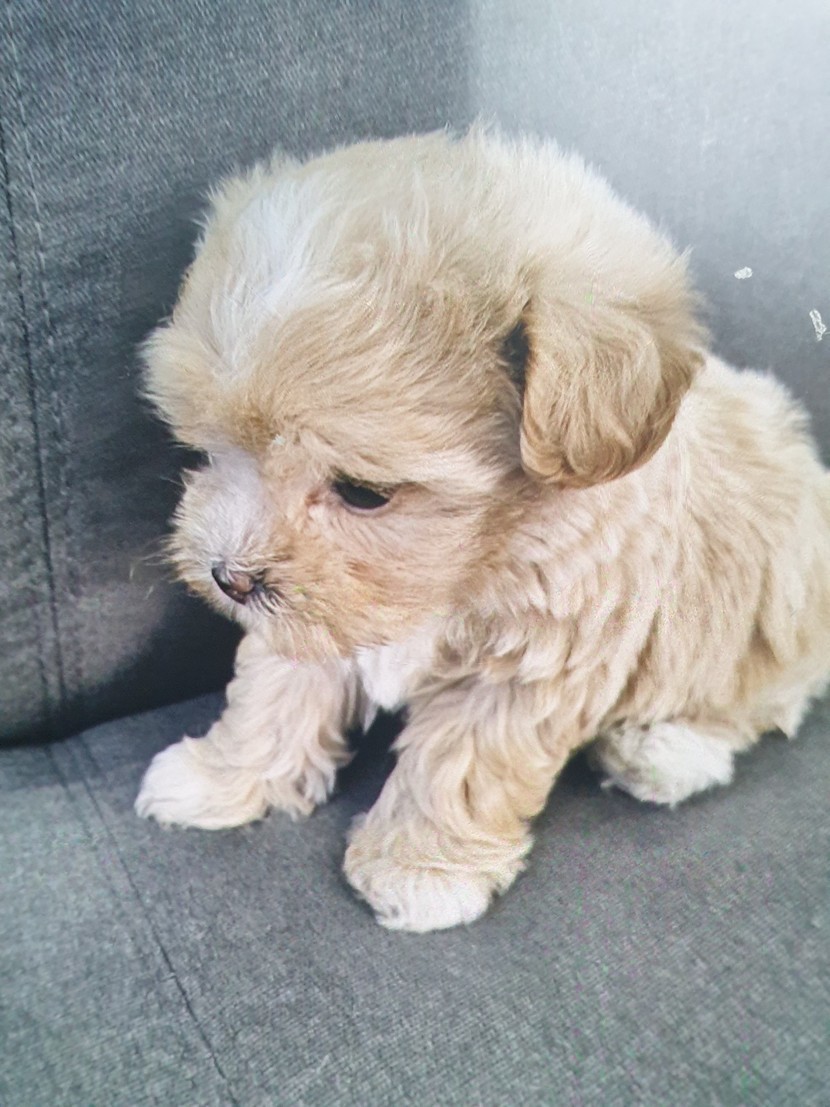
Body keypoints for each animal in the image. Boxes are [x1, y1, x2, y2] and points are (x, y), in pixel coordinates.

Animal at [135, 128, 830, 932]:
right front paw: (221, 776)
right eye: (214, 451)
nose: (229, 577)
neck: (472, 561)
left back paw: (665, 750)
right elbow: (274, 692)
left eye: (363, 492)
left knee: (758, 702)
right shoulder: (322, 613)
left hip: (771, 610)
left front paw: (419, 868)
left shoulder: (530, 659)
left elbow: (461, 762)